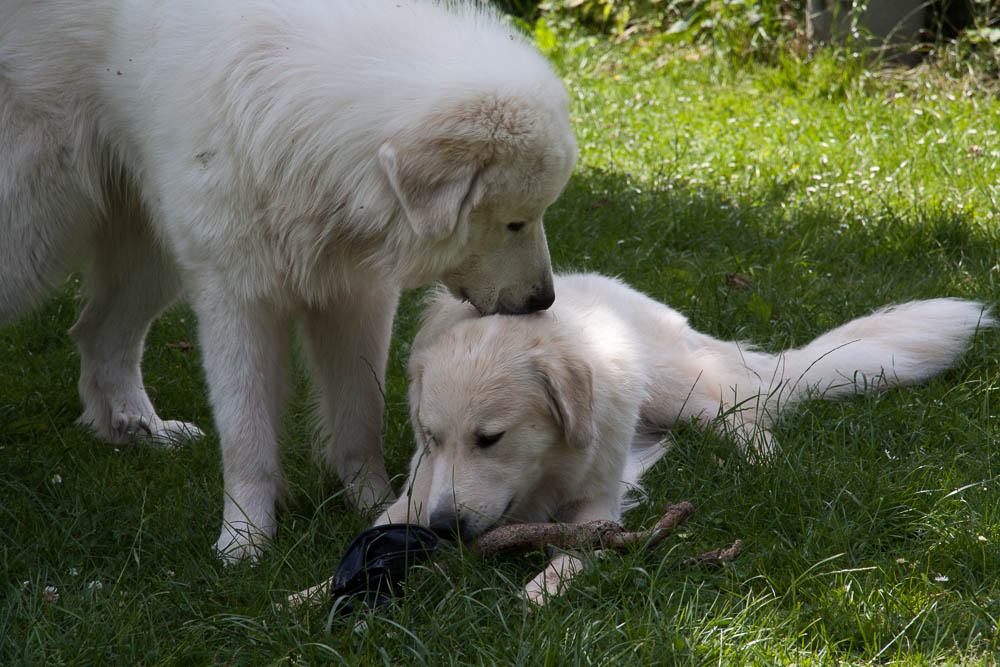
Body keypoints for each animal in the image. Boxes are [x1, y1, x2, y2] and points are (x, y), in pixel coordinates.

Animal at [0, 1, 580, 564]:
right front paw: (244, 540)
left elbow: (359, 415)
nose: (544, 298)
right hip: (34, 228)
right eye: (515, 222)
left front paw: (371, 504)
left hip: (149, 249)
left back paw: (140, 430)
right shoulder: (237, 296)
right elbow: (247, 436)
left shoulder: (357, 295)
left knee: (98, 332)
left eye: (540, 214)